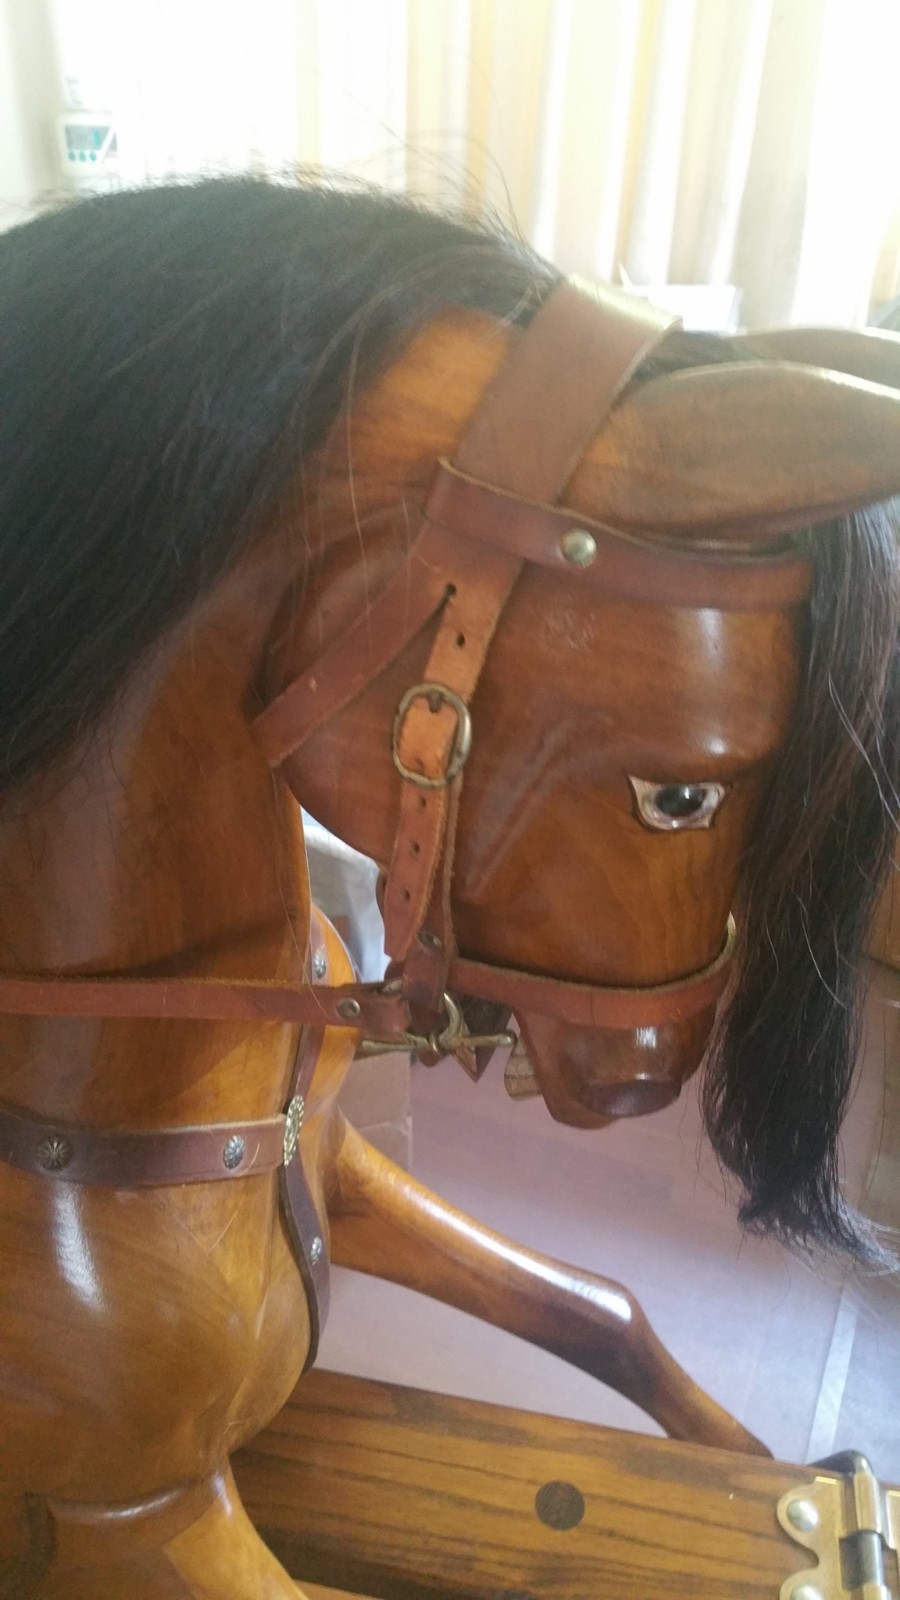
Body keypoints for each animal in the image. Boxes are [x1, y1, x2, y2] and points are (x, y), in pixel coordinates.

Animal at [0, 176, 898, 1598]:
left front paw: (789, 1482)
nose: (649, 1068)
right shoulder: (139, 1514)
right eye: (680, 796)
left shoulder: (349, 1166)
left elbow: (611, 1311)